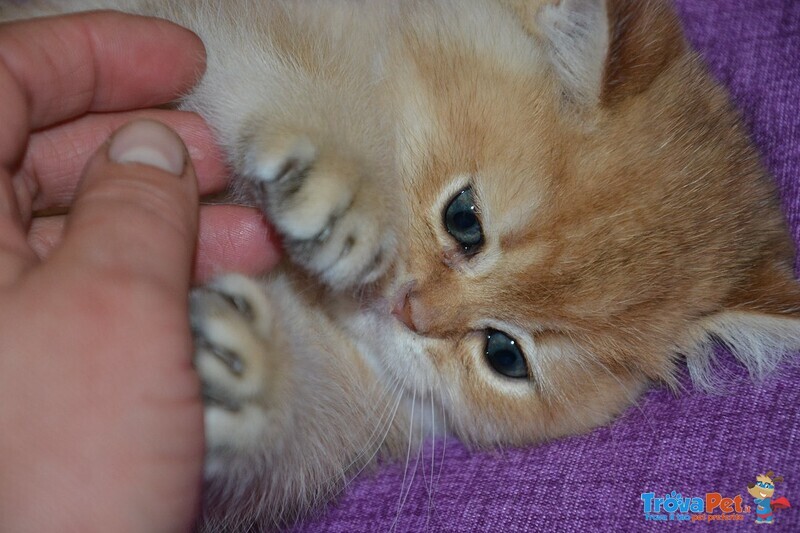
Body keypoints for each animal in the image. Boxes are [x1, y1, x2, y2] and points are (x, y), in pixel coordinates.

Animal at [7, 0, 800, 528]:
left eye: (505, 354)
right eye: (463, 218)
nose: (408, 310)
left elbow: (288, 426)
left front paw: (255, 374)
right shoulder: (189, 26)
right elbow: (244, 53)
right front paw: (342, 176)